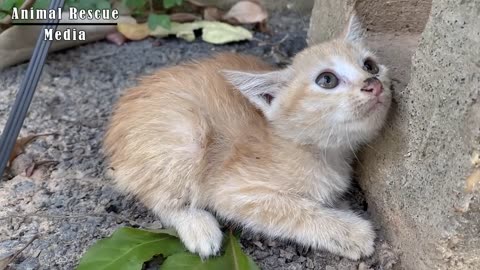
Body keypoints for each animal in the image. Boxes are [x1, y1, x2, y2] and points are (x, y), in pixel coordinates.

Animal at [104, 14, 390, 260]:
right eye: (327, 80)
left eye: (370, 66)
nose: (373, 84)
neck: (321, 151)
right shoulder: (235, 191)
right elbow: (293, 211)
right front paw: (349, 231)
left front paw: (341, 208)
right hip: (185, 136)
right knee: (156, 196)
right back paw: (198, 226)